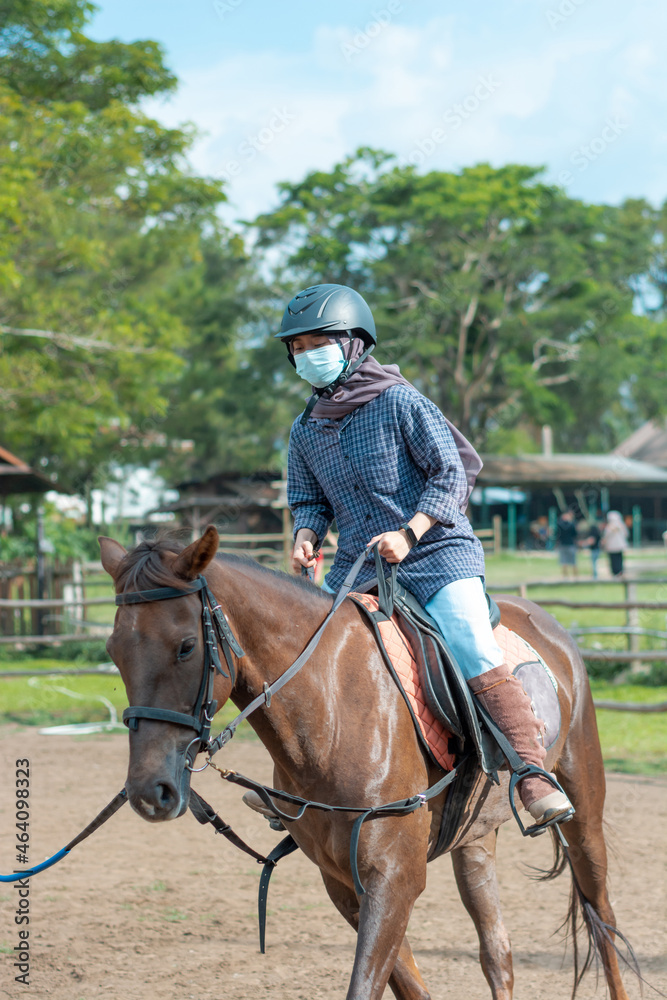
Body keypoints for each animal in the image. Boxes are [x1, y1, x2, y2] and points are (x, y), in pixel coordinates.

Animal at [99, 524, 636, 1000]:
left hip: (583, 809)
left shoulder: (393, 879)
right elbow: (410, 987)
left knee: (604, 922)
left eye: (187, 646)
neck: (335, 708)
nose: (149, 791)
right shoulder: (343, 883)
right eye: (114, 651)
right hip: (474, 838)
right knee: (497, 954)